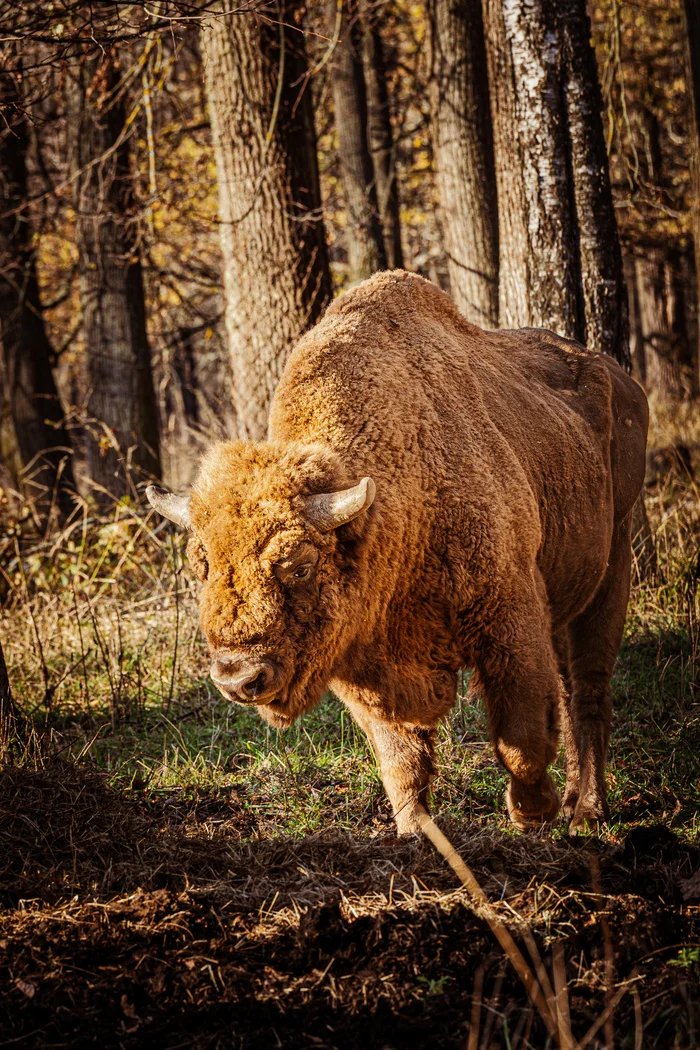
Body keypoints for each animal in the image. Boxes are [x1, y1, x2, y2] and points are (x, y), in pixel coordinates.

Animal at [149, 270, 650, 835]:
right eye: (202, 564)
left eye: (299, 564)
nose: (238, 677)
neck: (393, 511)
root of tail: (624, 381)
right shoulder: (368, 669)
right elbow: (401, 758)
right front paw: (416, 831)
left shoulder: (509, 619)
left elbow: (519, 737)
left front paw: (529, 814)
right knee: (568, 691)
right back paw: (571, 803)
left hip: (614, 563)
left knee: (588, 690)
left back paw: (586, 812)